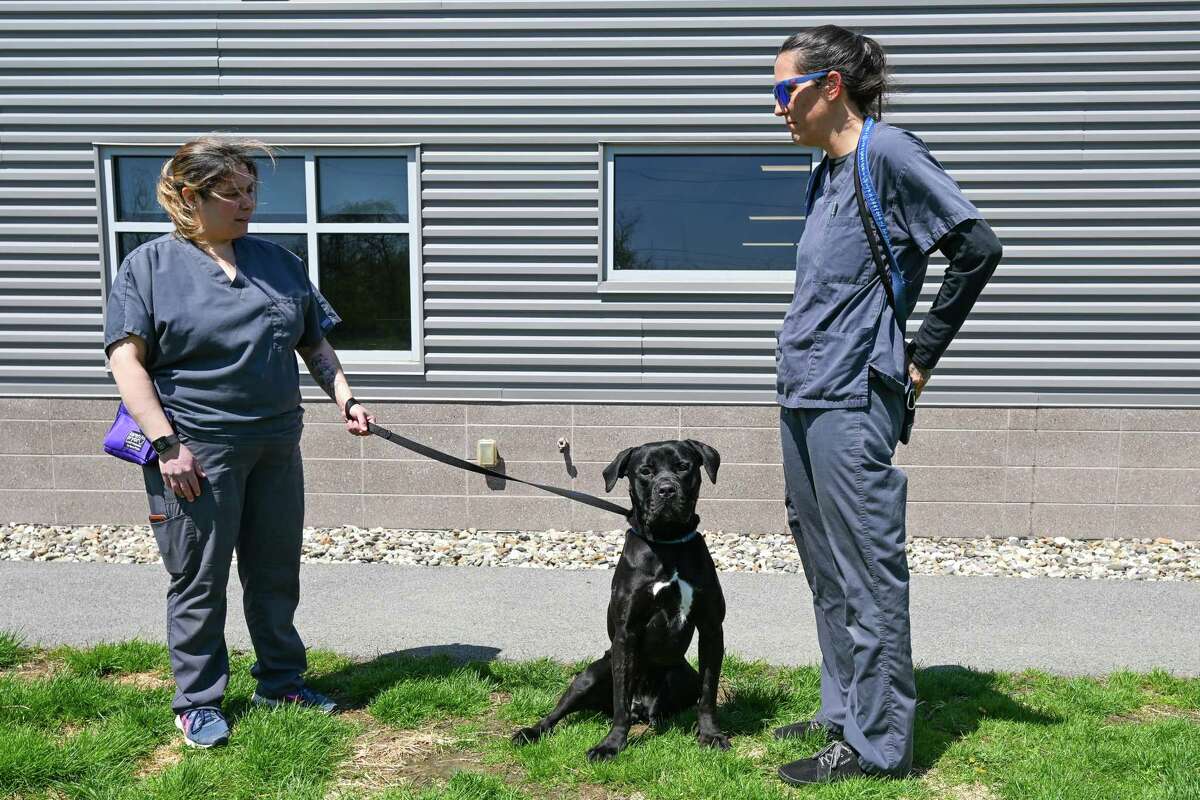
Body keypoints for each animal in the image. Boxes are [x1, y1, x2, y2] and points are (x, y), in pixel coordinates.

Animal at [511, 441, 724, 762]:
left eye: (683, 467)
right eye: (645, 471)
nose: (666, 490)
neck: (667, 543)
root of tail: (644, 708)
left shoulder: (712, 628)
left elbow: (709, 693)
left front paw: (710, 735)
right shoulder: (627, 632)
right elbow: (621, 700)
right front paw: (611, 745)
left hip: (684, 678)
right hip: (588, 676)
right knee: (560, 712)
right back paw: (530, 732)